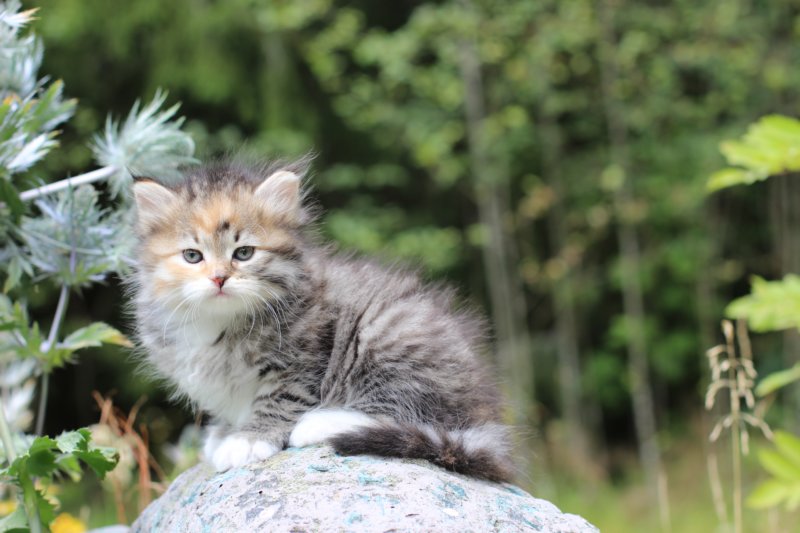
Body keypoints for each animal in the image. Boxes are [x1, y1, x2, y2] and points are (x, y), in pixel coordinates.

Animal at [130, 158, 514, 482]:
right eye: (193, 256)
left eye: (244, 253)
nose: (219, 279)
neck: (220, 321)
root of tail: (486, 410)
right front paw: (225, 430)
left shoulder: (302, 360)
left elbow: (279, 401)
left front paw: (249, 439)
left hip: (385, 335)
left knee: (405, 411)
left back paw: (321, 424)